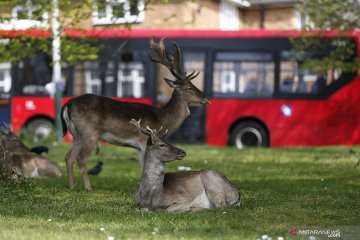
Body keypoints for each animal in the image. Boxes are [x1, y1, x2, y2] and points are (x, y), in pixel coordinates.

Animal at [60, 38, 210, 190]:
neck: (163, 119)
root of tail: (68, 104)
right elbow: (145, 166)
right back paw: (88, 188)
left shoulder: (139, 147)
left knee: (68, 157)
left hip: (77, 134)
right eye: (190, 88)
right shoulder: (144, 140)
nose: (206, 98)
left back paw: (72, 187)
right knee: (81, 158)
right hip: (89, 132)